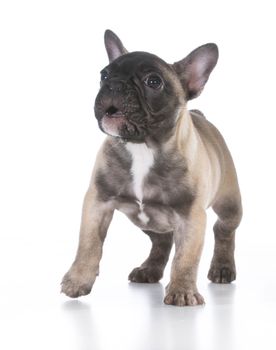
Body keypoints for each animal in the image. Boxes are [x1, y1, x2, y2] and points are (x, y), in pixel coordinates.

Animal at [61, 30, 243, 304]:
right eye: (104, 75)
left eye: (154, 81)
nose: (114, 85)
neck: (142, 146)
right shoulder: (97, 202)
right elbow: (89, 244)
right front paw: (78, 280)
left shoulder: (191, 216)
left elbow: (186, 258)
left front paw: (182, 291)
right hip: (146, 221)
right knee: (162, 241)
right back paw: (149, 269)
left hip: (229, 204)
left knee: (223, 229)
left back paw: (222, 267)